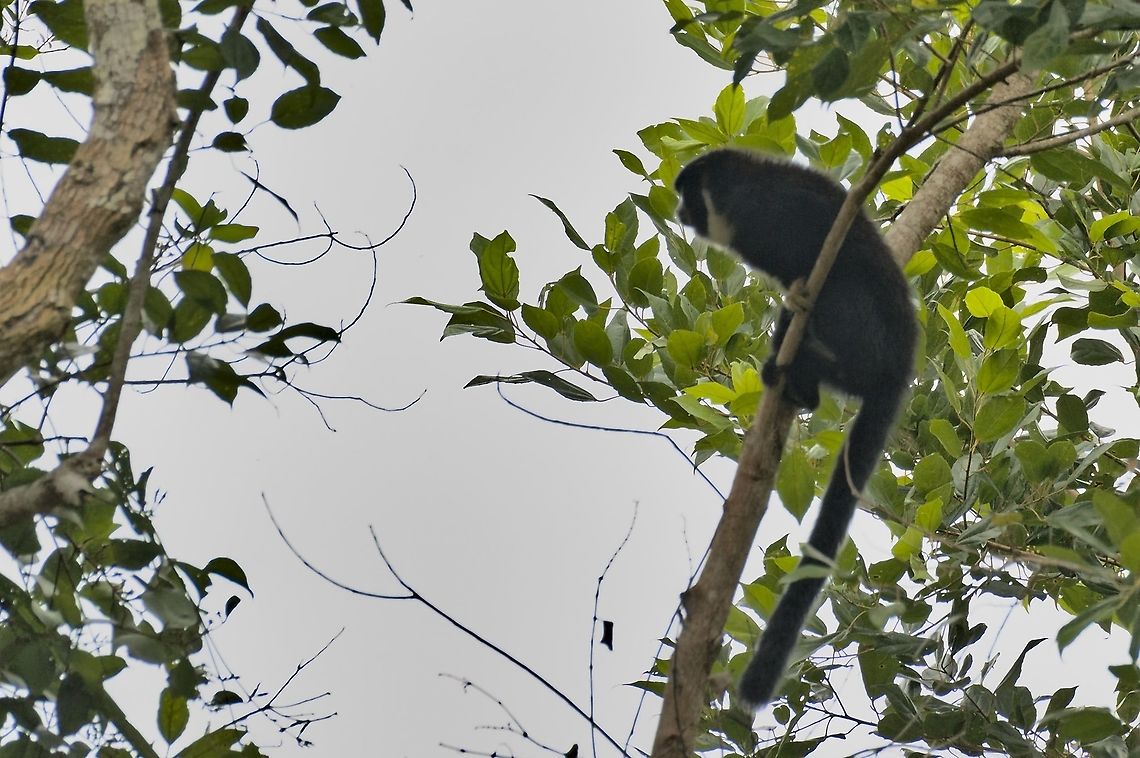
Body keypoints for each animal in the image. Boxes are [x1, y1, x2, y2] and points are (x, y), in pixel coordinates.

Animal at [673, 147, 916, 708]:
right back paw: (797, 382)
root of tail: (899, 365)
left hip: (864, 335)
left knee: (841, 296)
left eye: (688, 195)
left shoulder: (770, 214)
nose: (677, 211)